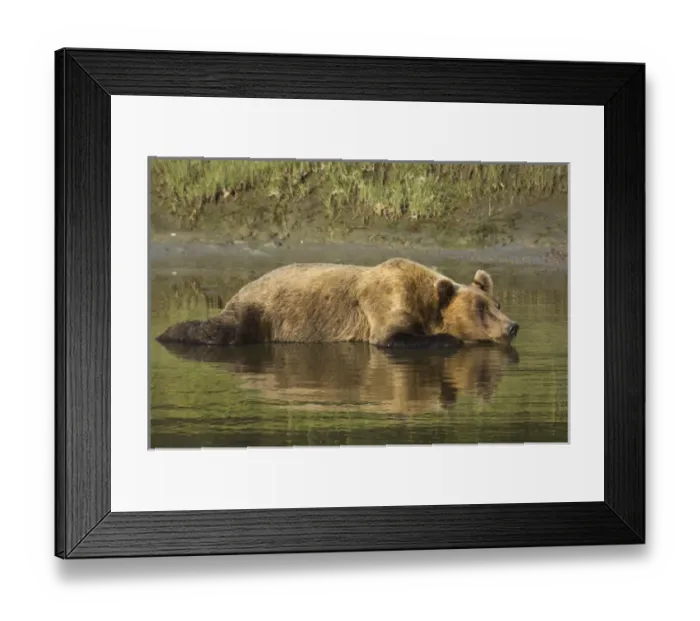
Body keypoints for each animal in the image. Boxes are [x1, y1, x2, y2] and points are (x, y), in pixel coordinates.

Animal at [155, 257, 519, 349]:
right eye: (481, 309)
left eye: (497, 303)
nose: (512, 326)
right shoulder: (385, 301)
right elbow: (393, 338)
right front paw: (450, 339)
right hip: (259, 311)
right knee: (221, 331)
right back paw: (170, 332)